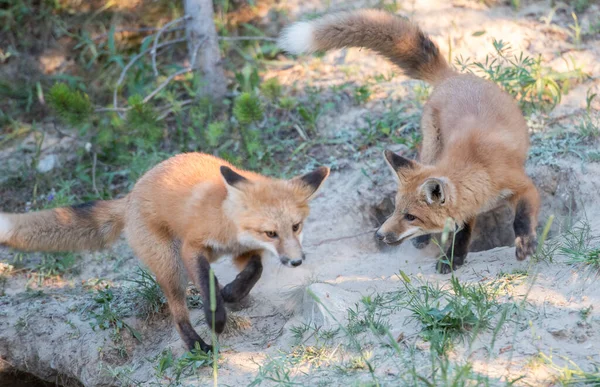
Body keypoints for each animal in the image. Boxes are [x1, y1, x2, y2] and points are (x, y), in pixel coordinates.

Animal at [0, 153, 328, 354]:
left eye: (296, 227)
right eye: (271, 233)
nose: (296, 261)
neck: (227, 220)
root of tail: (130, 196)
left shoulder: (242, 251)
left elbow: (254, 271)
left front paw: (233, 293)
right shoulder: (192, 247)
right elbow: (208, 283)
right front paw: (216, 317)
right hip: (171, 264)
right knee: (178, 313)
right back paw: (196, 345)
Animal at [278, 9, 540, 276]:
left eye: (411, 216)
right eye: (394, 209)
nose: (379, 235)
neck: (479, 167)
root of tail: (452, 77)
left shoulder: (521, 186)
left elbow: (520, 218)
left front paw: (525, 243)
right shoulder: (468, 205)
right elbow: (462, 232)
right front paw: (453, 259)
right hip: (431, 149)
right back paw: (424, 240)